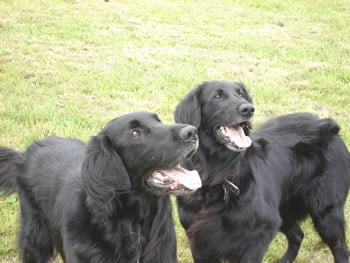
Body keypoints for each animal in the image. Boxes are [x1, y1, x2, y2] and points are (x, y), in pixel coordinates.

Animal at [0, 112, 202, 263]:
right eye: (135, 133)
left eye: (158, 121)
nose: (192, 132)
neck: (132, 227)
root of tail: (24, 155)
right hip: (35, 238)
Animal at [175, 81, 350, 263]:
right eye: (217, 96)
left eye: (241, 94)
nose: (248, 109)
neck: (219, 173)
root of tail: (329, 125)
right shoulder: (199, 240)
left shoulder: (258, 236)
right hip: (285, 210)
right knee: (297, 235)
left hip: (326, 214)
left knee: (341, 250)